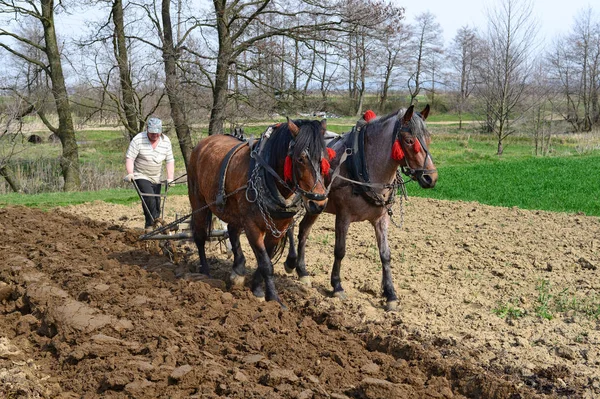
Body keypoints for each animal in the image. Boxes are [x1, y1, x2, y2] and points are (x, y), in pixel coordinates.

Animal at [188, 120, 328, 304]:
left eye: (323, 159)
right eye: (300, 159)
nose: (318, 202)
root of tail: (203, 143)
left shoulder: (278, 228)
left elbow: (265, 259)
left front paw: (257, 288)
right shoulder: (252, 226)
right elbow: (266, 263)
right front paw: (273, 299)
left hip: (233, 210)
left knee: (232, 231)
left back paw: (238, 270)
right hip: (198, 202)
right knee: (200, 236)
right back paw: (205, 272)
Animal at [284, 106, 438, 312]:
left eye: (428, 138)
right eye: (409, 140)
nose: (431, 178)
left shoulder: (381, 219)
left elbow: (385, 254)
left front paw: (390, 294)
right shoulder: (343, 216)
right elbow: (340, 250)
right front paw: (337, 286)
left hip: (315, 205)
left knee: (304, 230)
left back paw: (302, 271)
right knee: (289, 226)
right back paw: (290, 262)